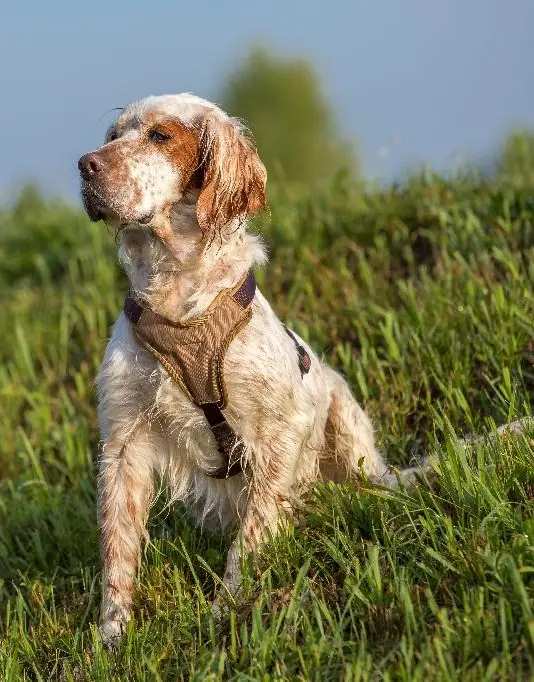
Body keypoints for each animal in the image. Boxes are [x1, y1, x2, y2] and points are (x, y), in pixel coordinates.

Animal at [77, 93, 426, 640]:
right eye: (112, 136)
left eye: (159, 136)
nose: (85, 165)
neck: (181, 305)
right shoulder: (124, 439)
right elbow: (118, 548)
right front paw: (112, 637)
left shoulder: (279, 429)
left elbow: (251, 534)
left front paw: (227, 609)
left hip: (346, 423)